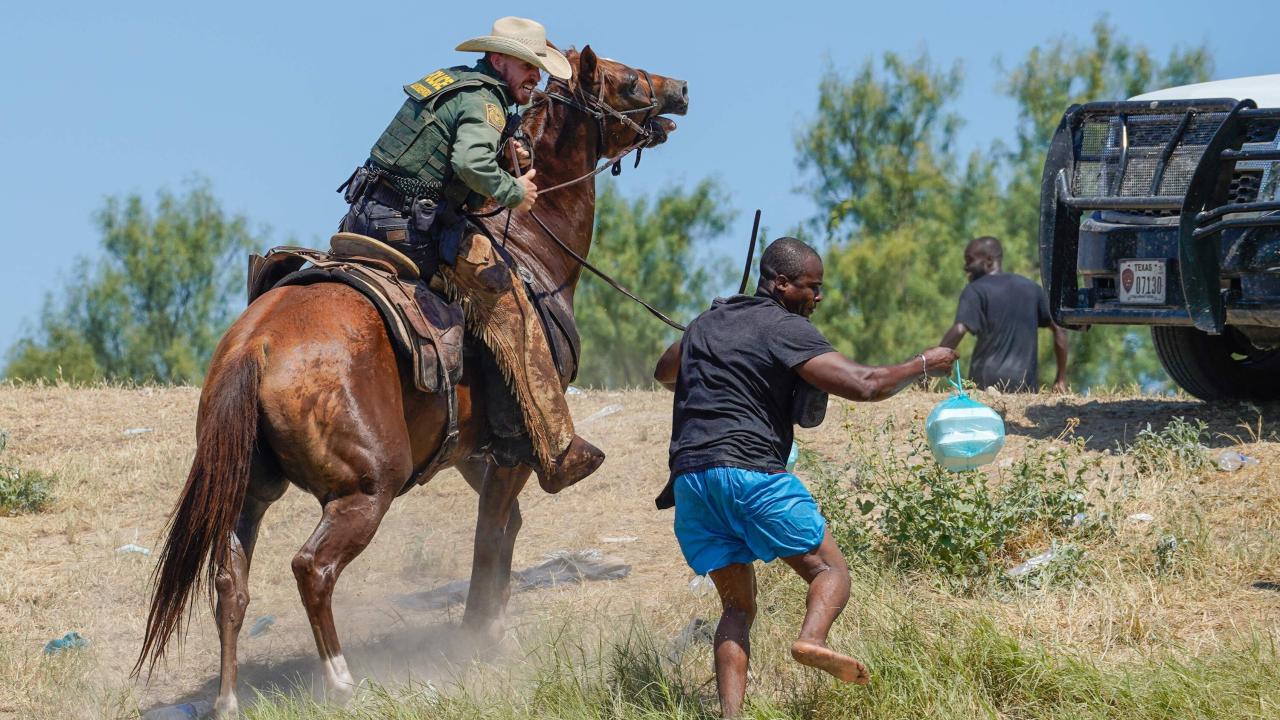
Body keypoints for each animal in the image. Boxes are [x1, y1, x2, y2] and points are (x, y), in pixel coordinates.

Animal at [138, 47, 691, 712]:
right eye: (626, 80)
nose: (680, 90)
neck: (533, 247)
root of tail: (256, 347)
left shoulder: (474, 453)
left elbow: (505, 530)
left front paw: (491, 628)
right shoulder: (514, 450)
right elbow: (490, 536)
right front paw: (479, 635)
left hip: (250, 489)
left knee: (230, 580)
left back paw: (227, 699)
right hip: (367, 488)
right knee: (311, 568)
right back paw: (341, 679)